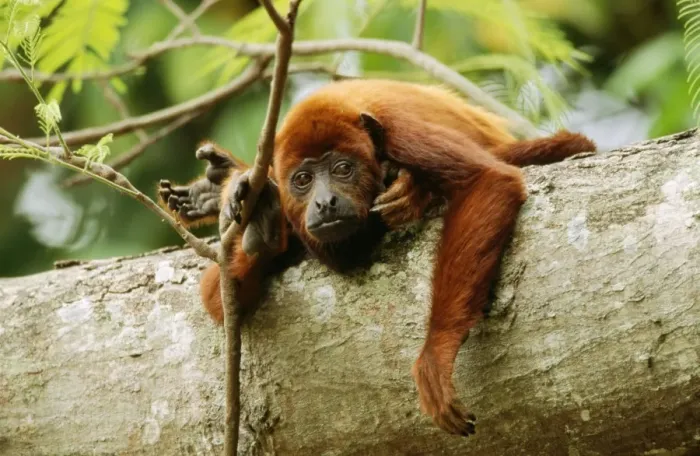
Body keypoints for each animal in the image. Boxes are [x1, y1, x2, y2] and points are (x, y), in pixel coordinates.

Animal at [158, 79, 596, 437]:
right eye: (303, 180)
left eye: (342, 169)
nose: (325, 202)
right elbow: (217, 297)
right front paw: (261, 217)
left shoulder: (400, 129)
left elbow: (488, 180)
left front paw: (435, 353)